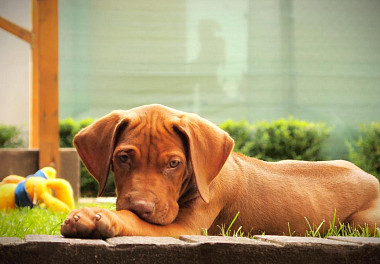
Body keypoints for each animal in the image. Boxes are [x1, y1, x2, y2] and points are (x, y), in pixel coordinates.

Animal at [61, 104, 380, 238]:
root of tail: (370, 176)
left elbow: (132, 220)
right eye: (123, 158)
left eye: (174, 164)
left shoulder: (183, 227)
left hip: (361, 223)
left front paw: (96, 217)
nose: (142, 206)